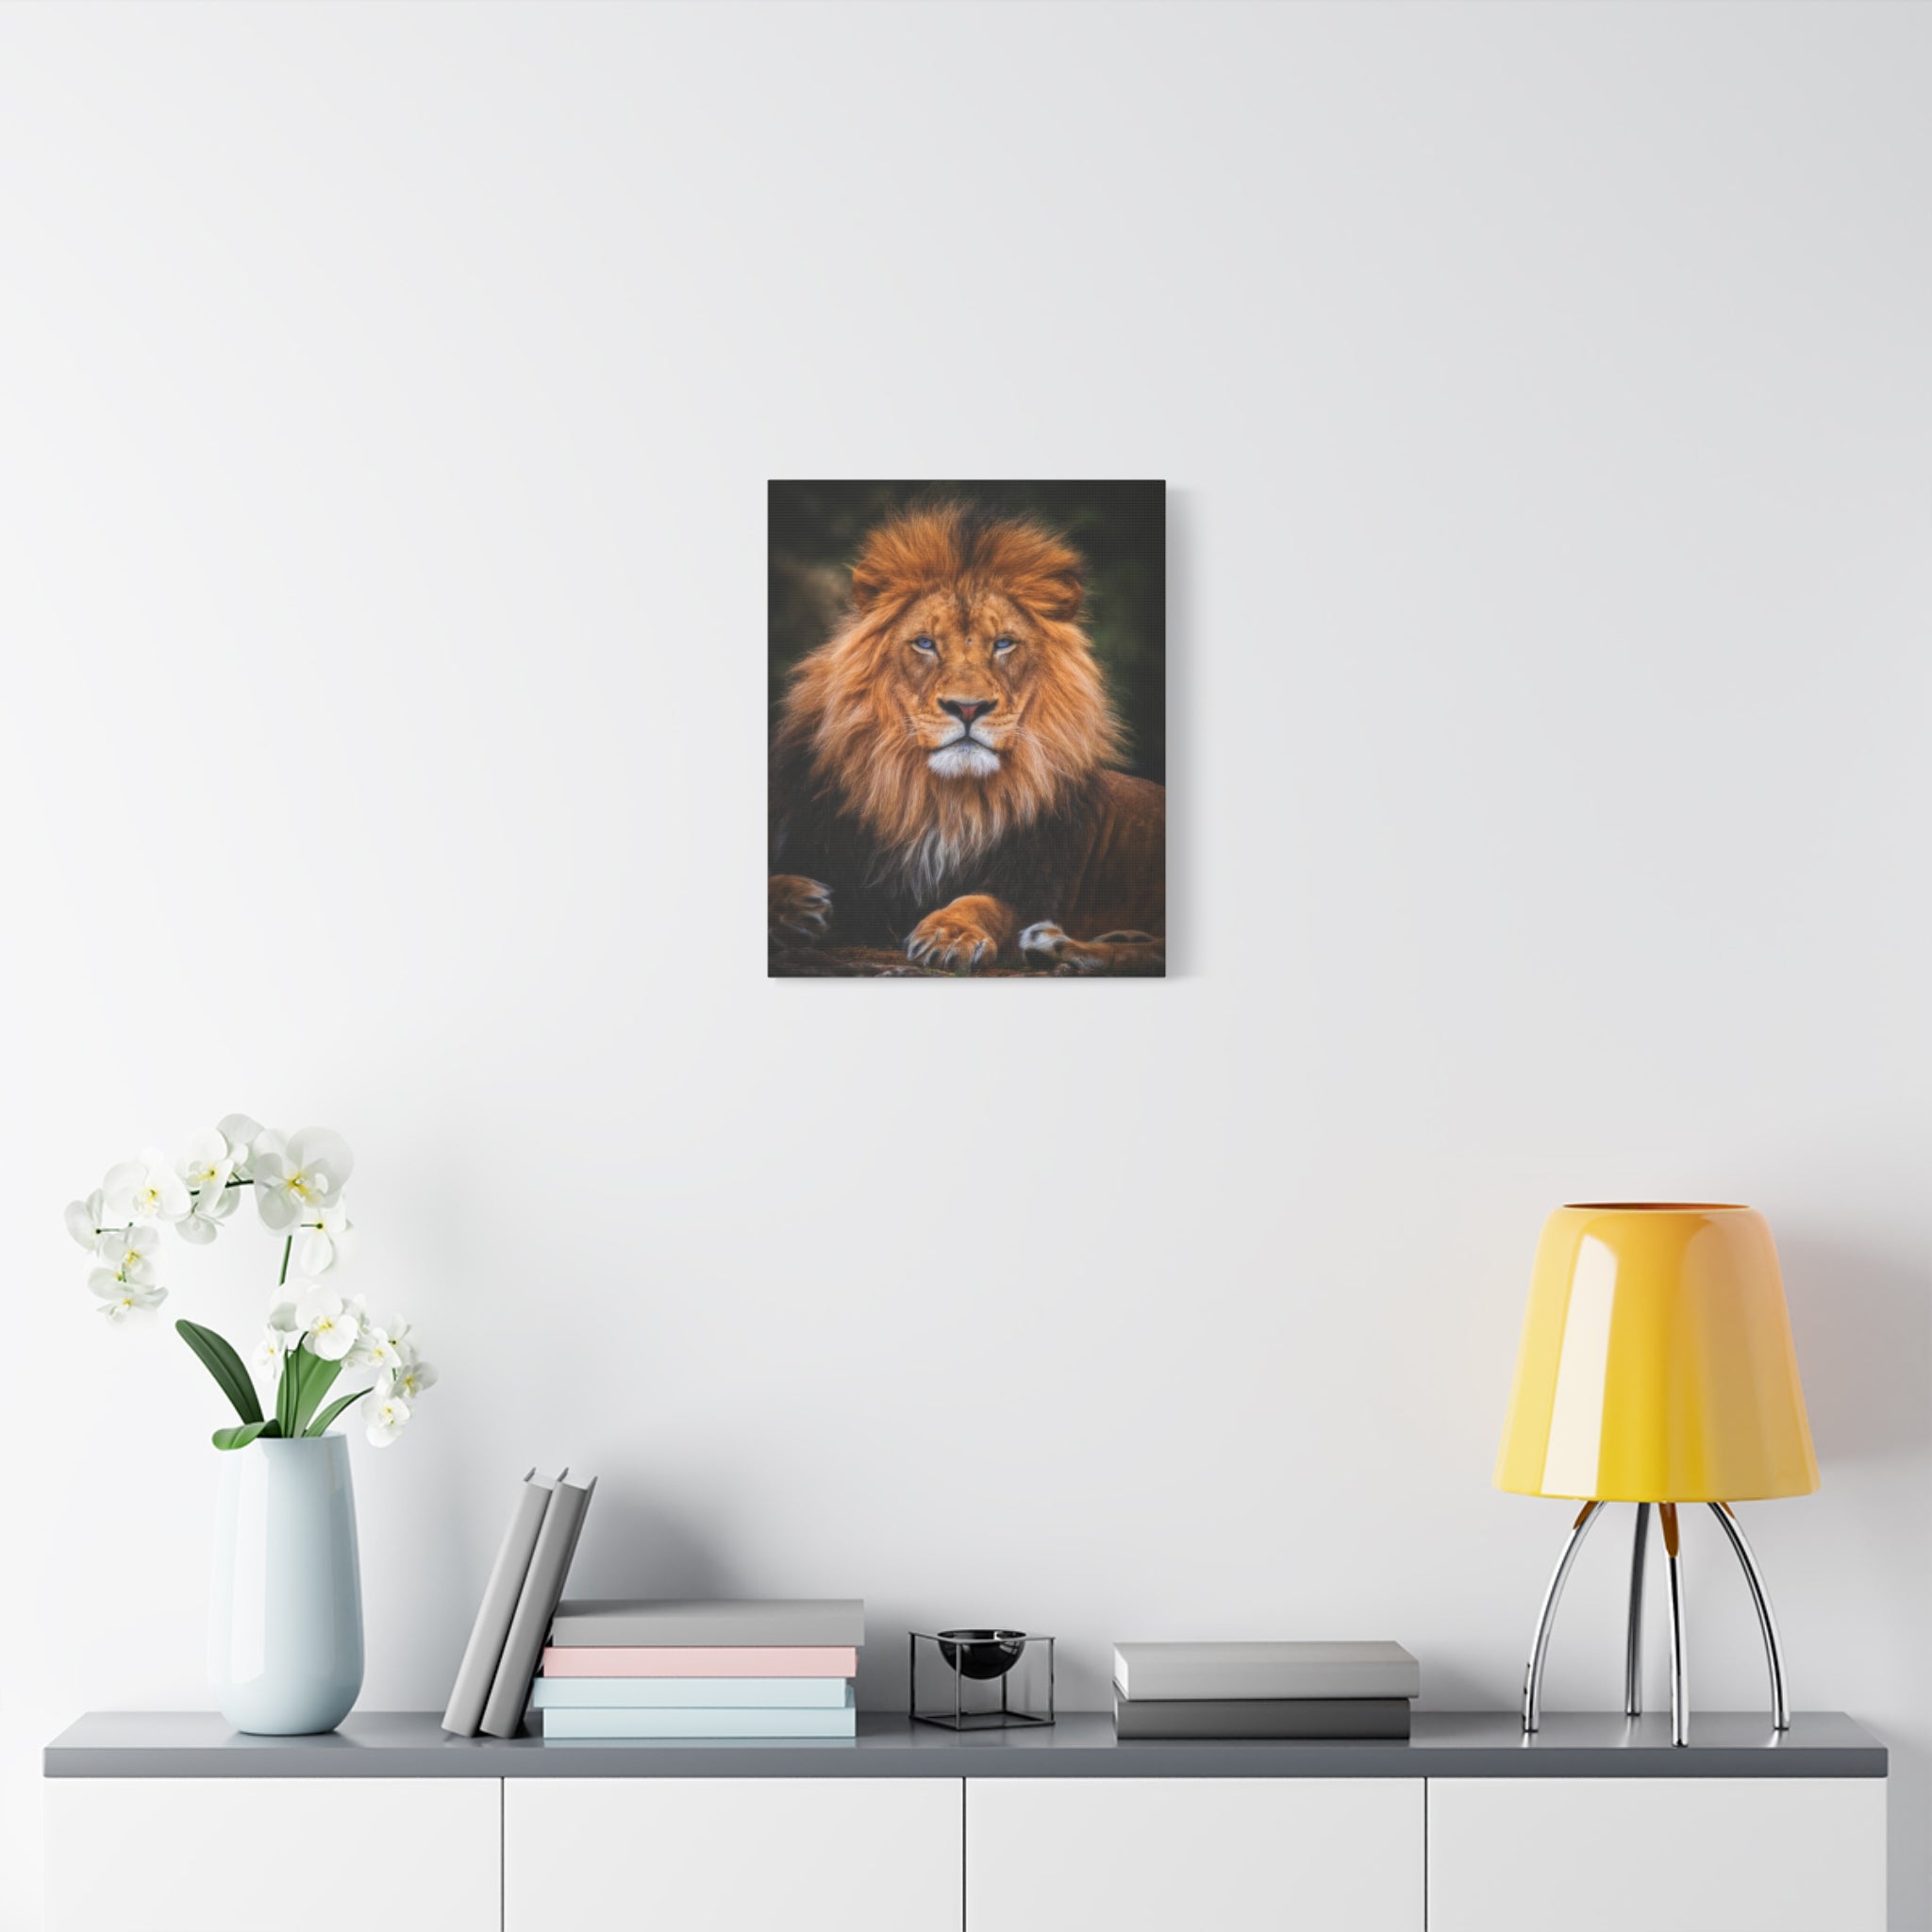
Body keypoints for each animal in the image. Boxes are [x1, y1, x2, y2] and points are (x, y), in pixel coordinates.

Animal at [769, 501, 1164, 975]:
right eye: (925, 643)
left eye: (1004, 643)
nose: (968, 708)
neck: (942, 799)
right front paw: (795, 903)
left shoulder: (1030, 882)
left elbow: (981, 903)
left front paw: (949, 933)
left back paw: (1053, 944)